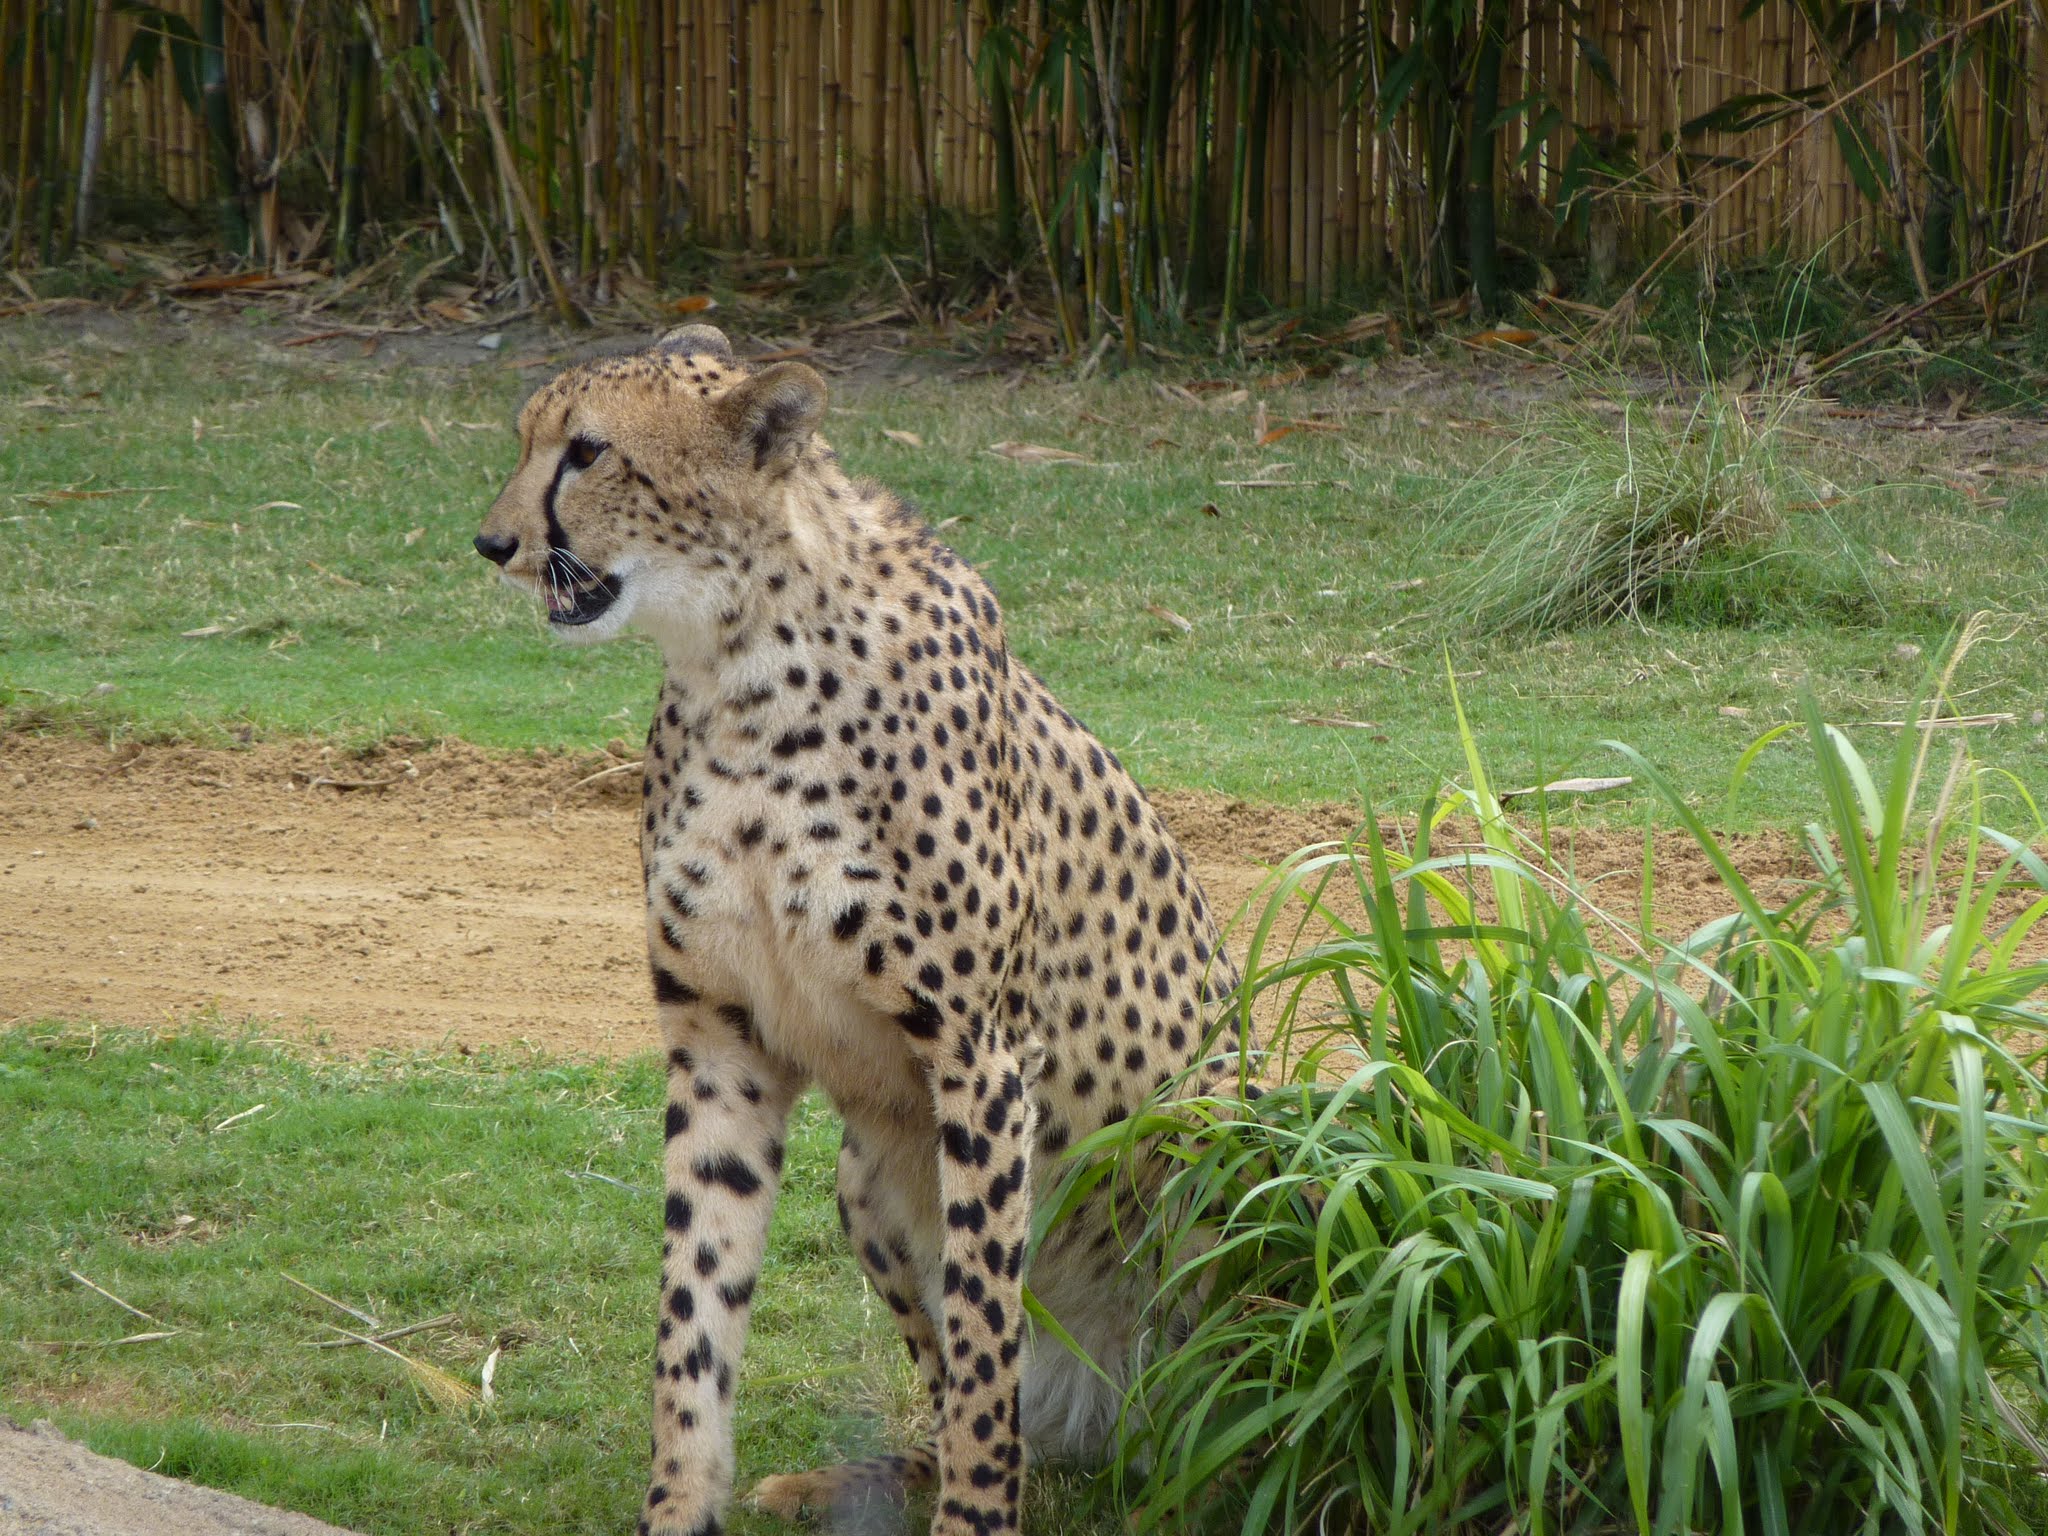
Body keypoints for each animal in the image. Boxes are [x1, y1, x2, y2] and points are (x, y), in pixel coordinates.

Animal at [474, 324, 1244, 1536]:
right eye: (526, 442)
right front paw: (679, 1506)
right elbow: (694, 1314)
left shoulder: (983, 1057)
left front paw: (975, 1522)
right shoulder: (719, 1043)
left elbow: (983, 1328)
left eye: (588, 451)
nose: (493, 542)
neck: (738, 664)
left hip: (1218, 1141)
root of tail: (1113, 1423)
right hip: (865, 1179)